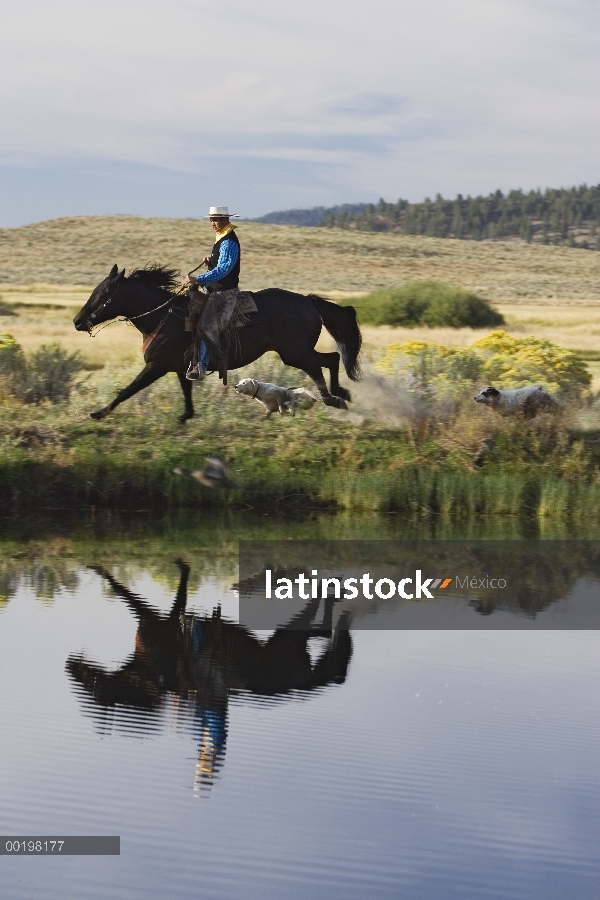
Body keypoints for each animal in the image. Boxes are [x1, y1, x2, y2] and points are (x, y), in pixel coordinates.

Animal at [72, 264, 358, 426]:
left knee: (329, 360)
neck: (163, 317)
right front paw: (186, 416)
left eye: (104, 295)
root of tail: (308, 301)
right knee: (323, 364)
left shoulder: (156, 366)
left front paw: (98, 413)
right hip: (297, 352)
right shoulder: (182, 366)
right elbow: (186, 390)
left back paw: (338, 397)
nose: (77, 321)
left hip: (294, 352)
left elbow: (127, 390)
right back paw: (336, 398)